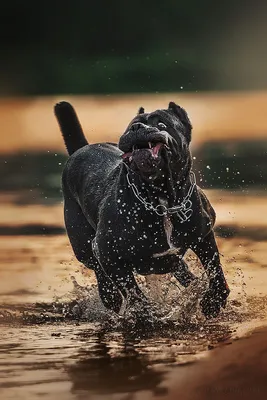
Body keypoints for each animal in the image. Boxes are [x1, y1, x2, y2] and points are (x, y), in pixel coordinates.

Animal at [54, 101, 230, 318]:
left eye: (162, 124)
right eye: (131, 126)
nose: (137, 128)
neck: (162, 199)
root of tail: (82, 148)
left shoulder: (203, 235)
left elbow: (215, 269)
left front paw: (212, 302)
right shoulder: (107, 252)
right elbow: (130, 289)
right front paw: (144, 311)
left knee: (179, 266)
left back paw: (193, 284)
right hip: (83, 245)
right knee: (99, 272)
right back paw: (110, 296)